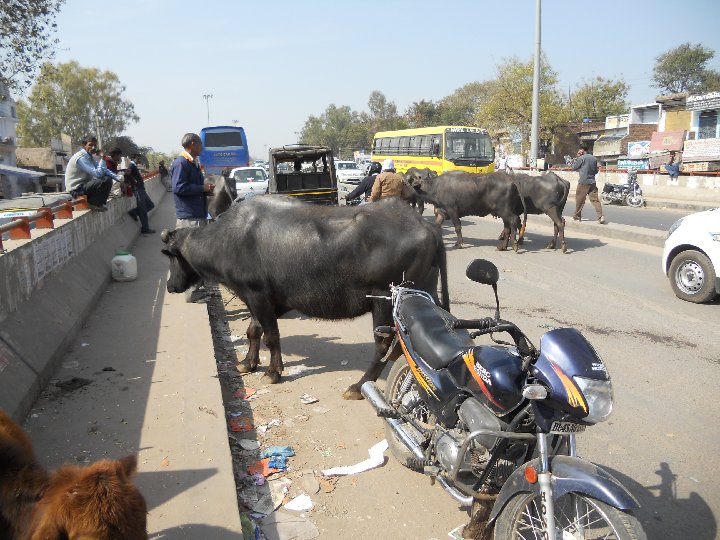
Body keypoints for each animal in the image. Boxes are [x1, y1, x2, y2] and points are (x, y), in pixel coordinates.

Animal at [160, 196, 448, 398]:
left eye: (172, 257)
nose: (170, 286)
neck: (227, 240)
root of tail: (426, 227)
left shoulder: (258, 296)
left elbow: (271, 336)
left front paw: (273, 372)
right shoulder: (268, 301)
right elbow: (253, 330)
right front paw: (247, 363)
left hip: (384, 301)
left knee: (385, 344)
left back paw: (359, 387)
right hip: (424, 295)